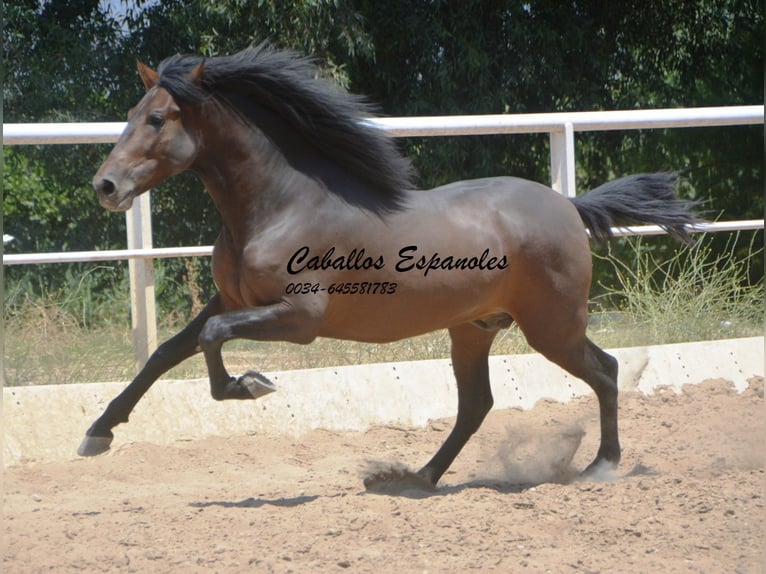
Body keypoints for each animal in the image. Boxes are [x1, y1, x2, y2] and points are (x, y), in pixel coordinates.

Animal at [79, 44, 704, 490]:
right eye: (132, 114)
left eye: (158, 119)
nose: (105, 187)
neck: (279, 206)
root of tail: (568, 205)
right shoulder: (233, 301)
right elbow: (165, 353)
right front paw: (96, 435)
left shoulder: (298, 319)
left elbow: (210, 338)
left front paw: (250, 385)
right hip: (473, 330)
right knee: (477, 405)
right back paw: (416, 478)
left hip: (552, 327)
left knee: (604, 371)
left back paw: (602, 466)